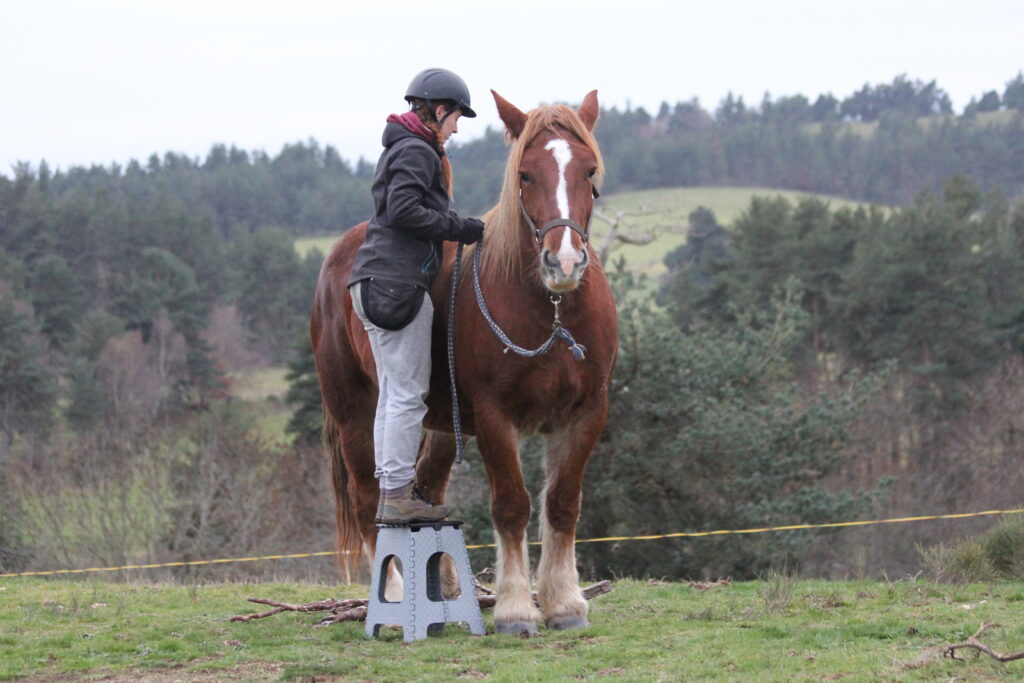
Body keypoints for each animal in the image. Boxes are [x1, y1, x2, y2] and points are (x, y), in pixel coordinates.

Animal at [309, 89, 614, 634]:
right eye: (525, 175)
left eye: (589, 172)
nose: (563, 262)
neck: (552, 314)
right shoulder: (496, 418)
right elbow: (511, 505)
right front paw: (516, 609)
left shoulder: (585, 414)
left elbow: (562, 505)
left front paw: (564, 603)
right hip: (355, 415)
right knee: (370, 501)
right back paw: (393, 594)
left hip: (442, 424)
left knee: (427, 491)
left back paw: (444, 586)